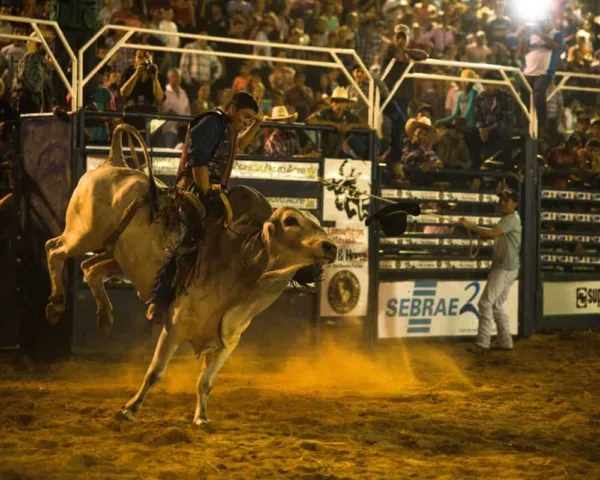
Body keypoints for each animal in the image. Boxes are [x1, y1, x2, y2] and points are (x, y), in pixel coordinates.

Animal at [45, 124, 338, 424]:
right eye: (291, 221)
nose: (331, 246)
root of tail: (114, 161)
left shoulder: (227, 344)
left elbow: (205, 382)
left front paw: (201, 417)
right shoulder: (174, 327)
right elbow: (155, 373)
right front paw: (130, 408)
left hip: (115, 255)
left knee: (90, 268)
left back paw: (104, 316)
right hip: (84, 234)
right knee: (54, 249)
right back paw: (56, 305)